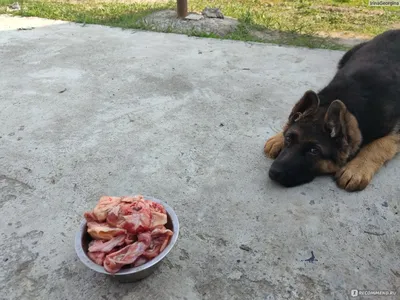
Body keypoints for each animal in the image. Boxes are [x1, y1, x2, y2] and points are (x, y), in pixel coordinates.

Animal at [264, 29, 398, 191]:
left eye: (314, 151)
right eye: (289, 139)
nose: (273, 173)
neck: (350, 96)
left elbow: (379, 145)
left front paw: (357, 169)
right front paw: (278, 138)